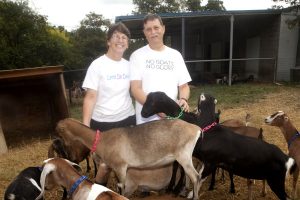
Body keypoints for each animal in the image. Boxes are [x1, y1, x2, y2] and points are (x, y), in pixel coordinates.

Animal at [56, 117, 202, 200]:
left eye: (60, 134)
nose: (69, 156)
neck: (102, 140)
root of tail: (196, 129)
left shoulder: (121, 166)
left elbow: (121, 186)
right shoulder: (114, 167)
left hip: (183, 155)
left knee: (196, 177)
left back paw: (194, 197)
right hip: (184, 157)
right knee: (188, 175)